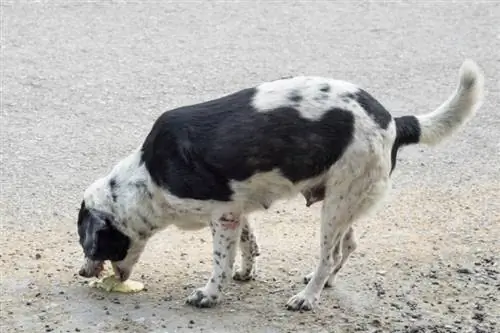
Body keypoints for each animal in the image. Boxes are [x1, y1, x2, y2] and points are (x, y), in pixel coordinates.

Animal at [77, 59, 484, 308]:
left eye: (88, 243)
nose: (81, 273)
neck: (148, 177)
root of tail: (394, 121)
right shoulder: (236, 211)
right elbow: (248, 244)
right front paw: (245, 272)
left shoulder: (222, 215)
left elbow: (220, 262)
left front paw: (210, 294)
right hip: (344, 201)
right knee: (348, 245)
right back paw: (325, 282)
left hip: (337, 206)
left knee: (329, 254)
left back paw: (308, 296)